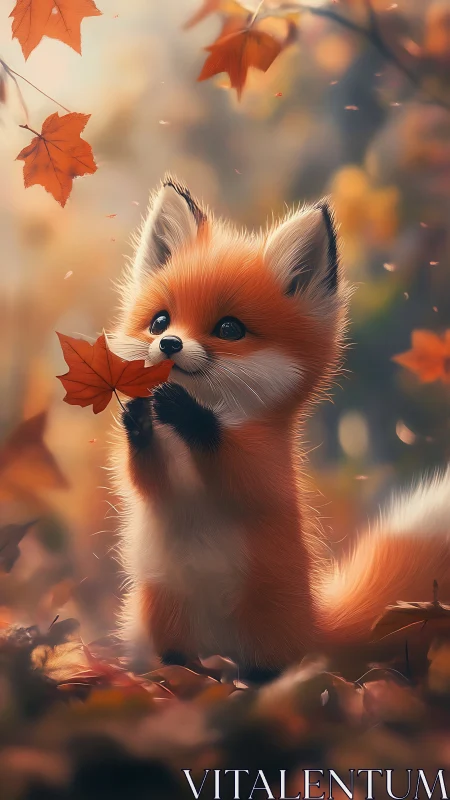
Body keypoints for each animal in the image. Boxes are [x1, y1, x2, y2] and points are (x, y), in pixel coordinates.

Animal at [110, 175, 450, 680]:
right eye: (160, 321)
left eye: (229, 329)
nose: (169, 344)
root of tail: (313, 621)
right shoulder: (160, 481)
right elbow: (145, 477)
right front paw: (138, 418)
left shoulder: (262, 465)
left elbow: (230, 460)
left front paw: (186, 411)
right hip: (164, 613)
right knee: (182, 665)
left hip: (263, 624)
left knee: (266, 671)